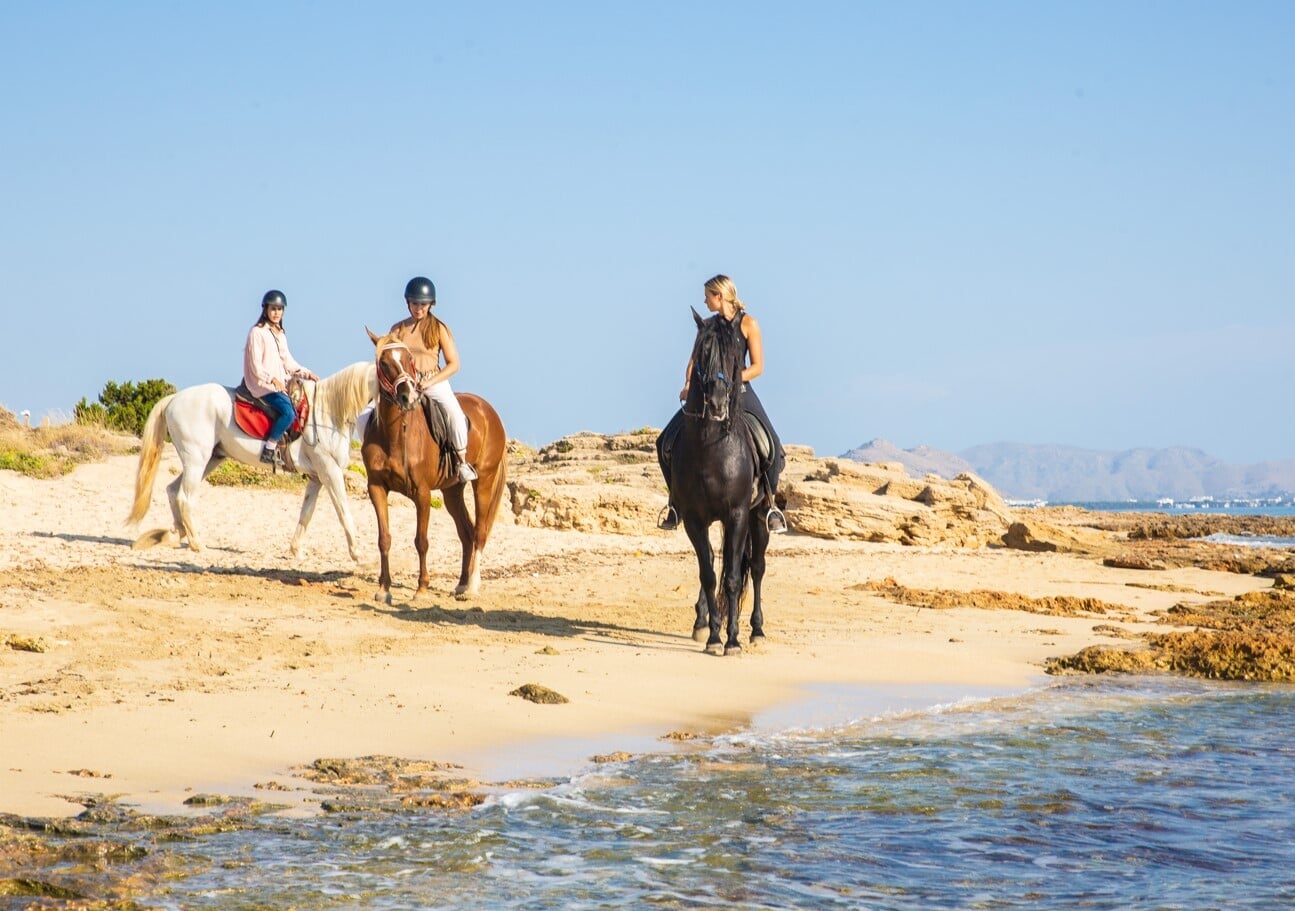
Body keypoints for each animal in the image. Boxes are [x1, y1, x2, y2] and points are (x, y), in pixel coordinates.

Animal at [127, 362, 377, 560]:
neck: (328, 413)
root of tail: (174, 399)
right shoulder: (329, 471)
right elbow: (343, 511)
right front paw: (358, 554)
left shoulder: (316, 477)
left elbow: (306, 513)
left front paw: (297, 550)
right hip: (196, 460)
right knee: (184, 498)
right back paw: (197, 543)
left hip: (210, 460)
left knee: (172, 490)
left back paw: (177, 534)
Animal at [362, 329, 508, 602]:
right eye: (384, 363)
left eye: (409, 359)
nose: (408, 396)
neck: (395, 434)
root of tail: (489, 411)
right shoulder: (376, 487)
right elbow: (384, 538)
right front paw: (384, 590)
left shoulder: (422, 493)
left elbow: (421, 541)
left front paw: (421, 589)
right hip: (452, 491)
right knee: (466, 532)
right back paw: (461, 584)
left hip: (484, 481)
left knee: (480, 531)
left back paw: (472, 587)